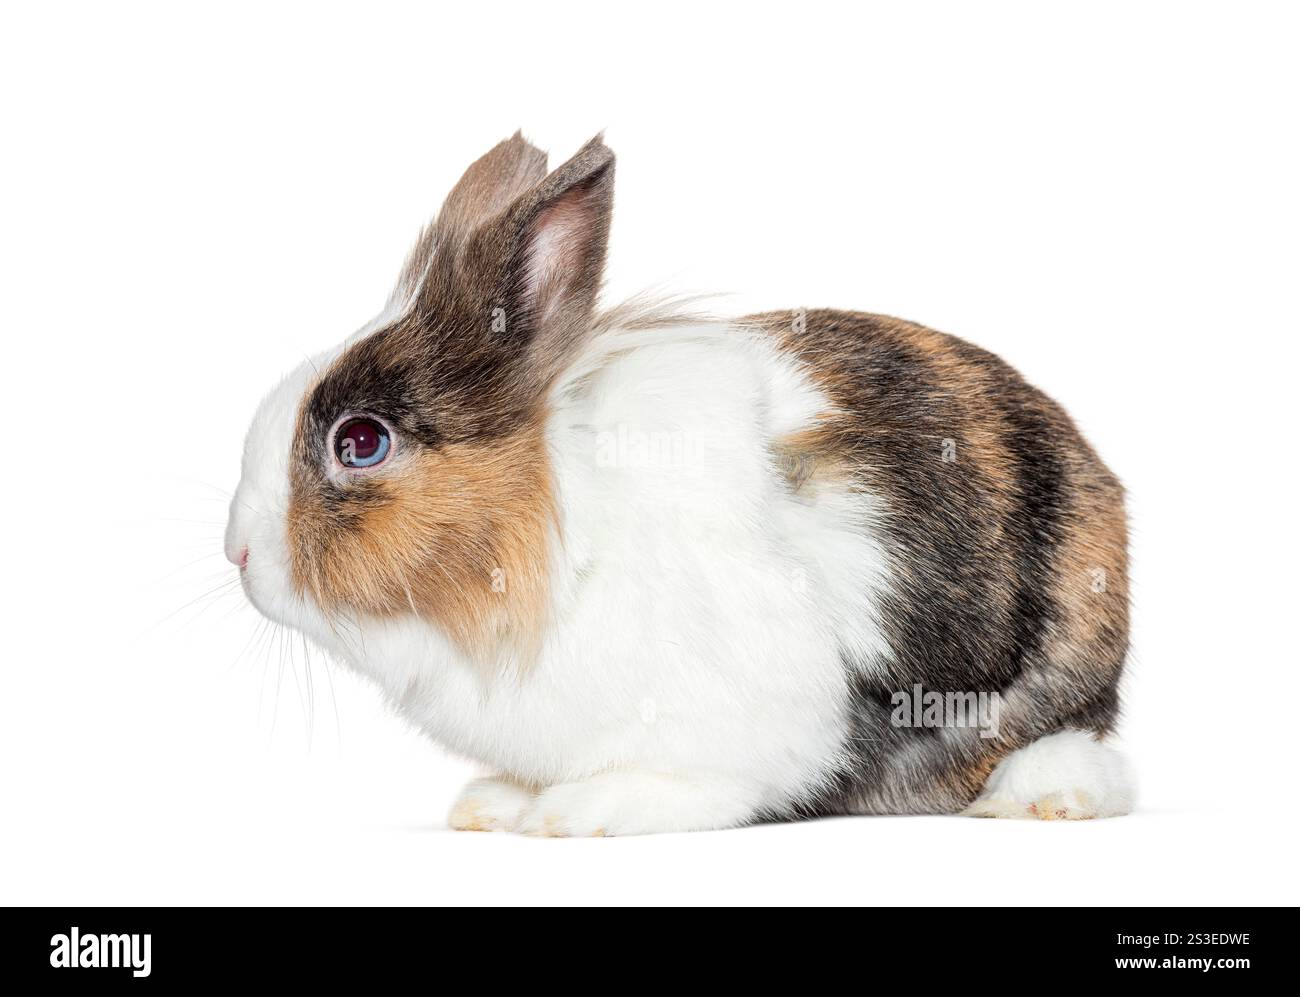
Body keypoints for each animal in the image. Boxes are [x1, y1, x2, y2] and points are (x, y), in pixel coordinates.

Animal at [225, 132, 1134, 835]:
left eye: (361, 442)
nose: (238, 552)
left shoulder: (754, 718)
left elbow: (702, 781)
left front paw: (576, 812)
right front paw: (495, 804)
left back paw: (1040, 798)